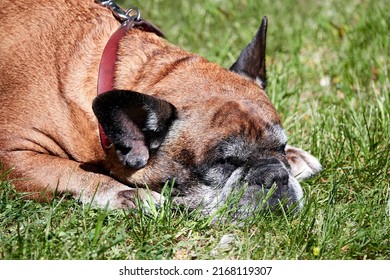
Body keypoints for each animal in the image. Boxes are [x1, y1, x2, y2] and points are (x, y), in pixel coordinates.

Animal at [0, 0, 322, 218]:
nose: (275, 176)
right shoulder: (12, 154)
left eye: (281, 148)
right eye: (225, 163)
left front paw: (296, 158)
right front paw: (122, 193)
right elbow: (64, 170)